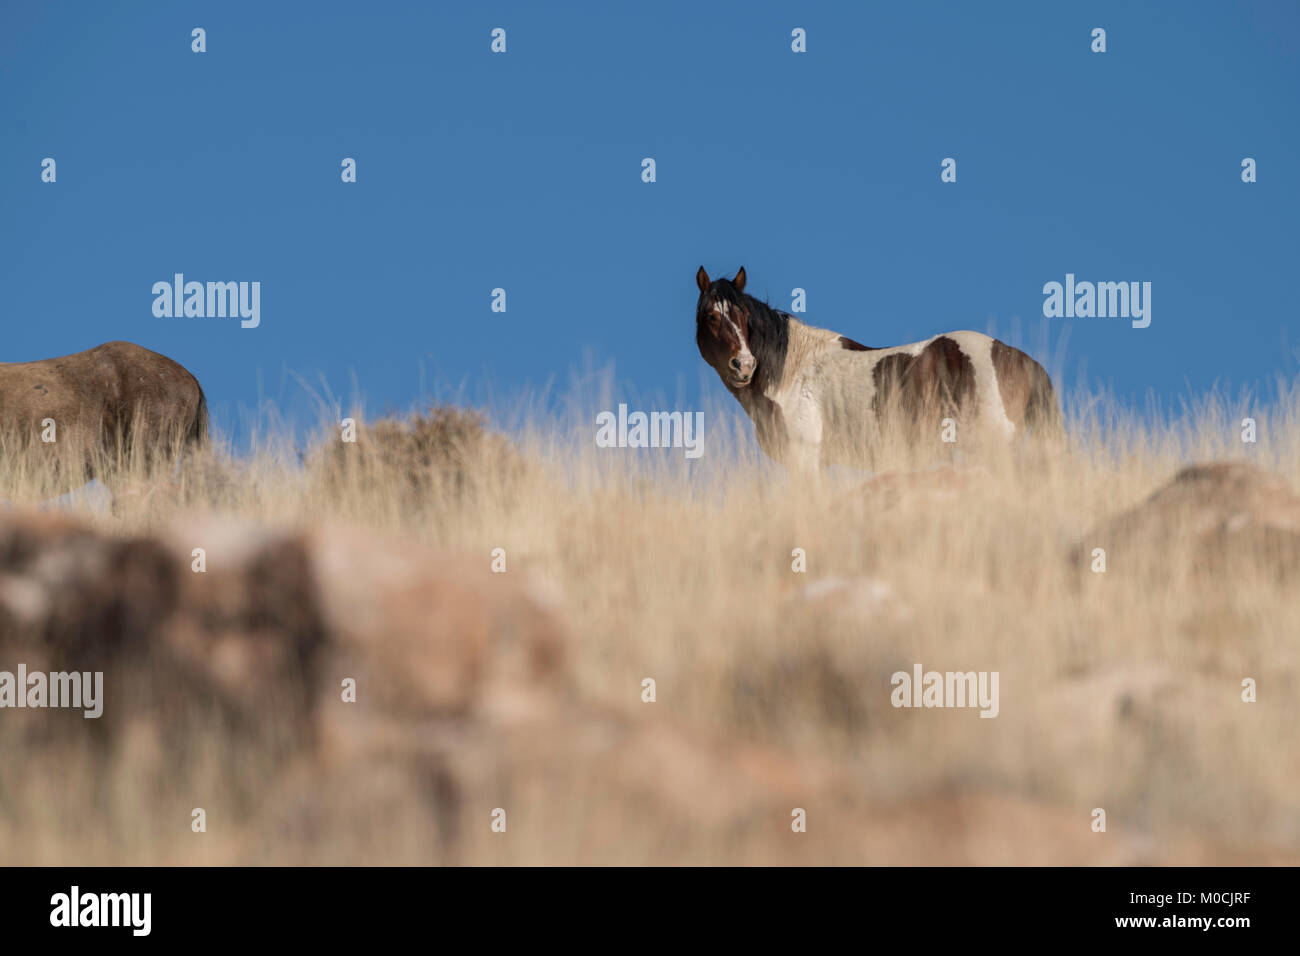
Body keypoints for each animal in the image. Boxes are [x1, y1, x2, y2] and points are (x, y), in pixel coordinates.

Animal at [694, 266, 1060, 474]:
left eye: (744, 316)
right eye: (712, 316)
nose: (744, 365)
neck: (791, 371)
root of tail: (1017, 357)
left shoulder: (805, 460)